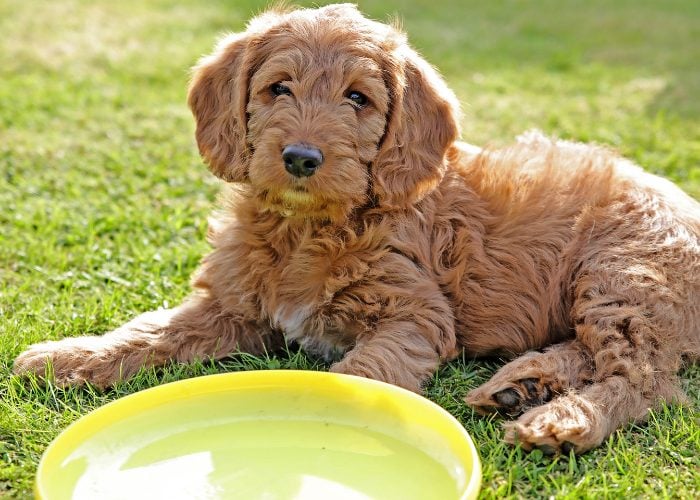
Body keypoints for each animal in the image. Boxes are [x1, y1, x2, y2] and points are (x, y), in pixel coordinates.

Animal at [12, 3, 700, 456]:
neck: (307, 228)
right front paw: (69, 355)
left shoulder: (415, 314)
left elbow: (358, 373)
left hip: (623, 275)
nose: (300, 157)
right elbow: (150, 332)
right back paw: (522, 385)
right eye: (278, 88)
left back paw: (561, 422)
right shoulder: (231, 308)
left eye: (358, 99)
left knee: (646, 380)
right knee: (599, 354)